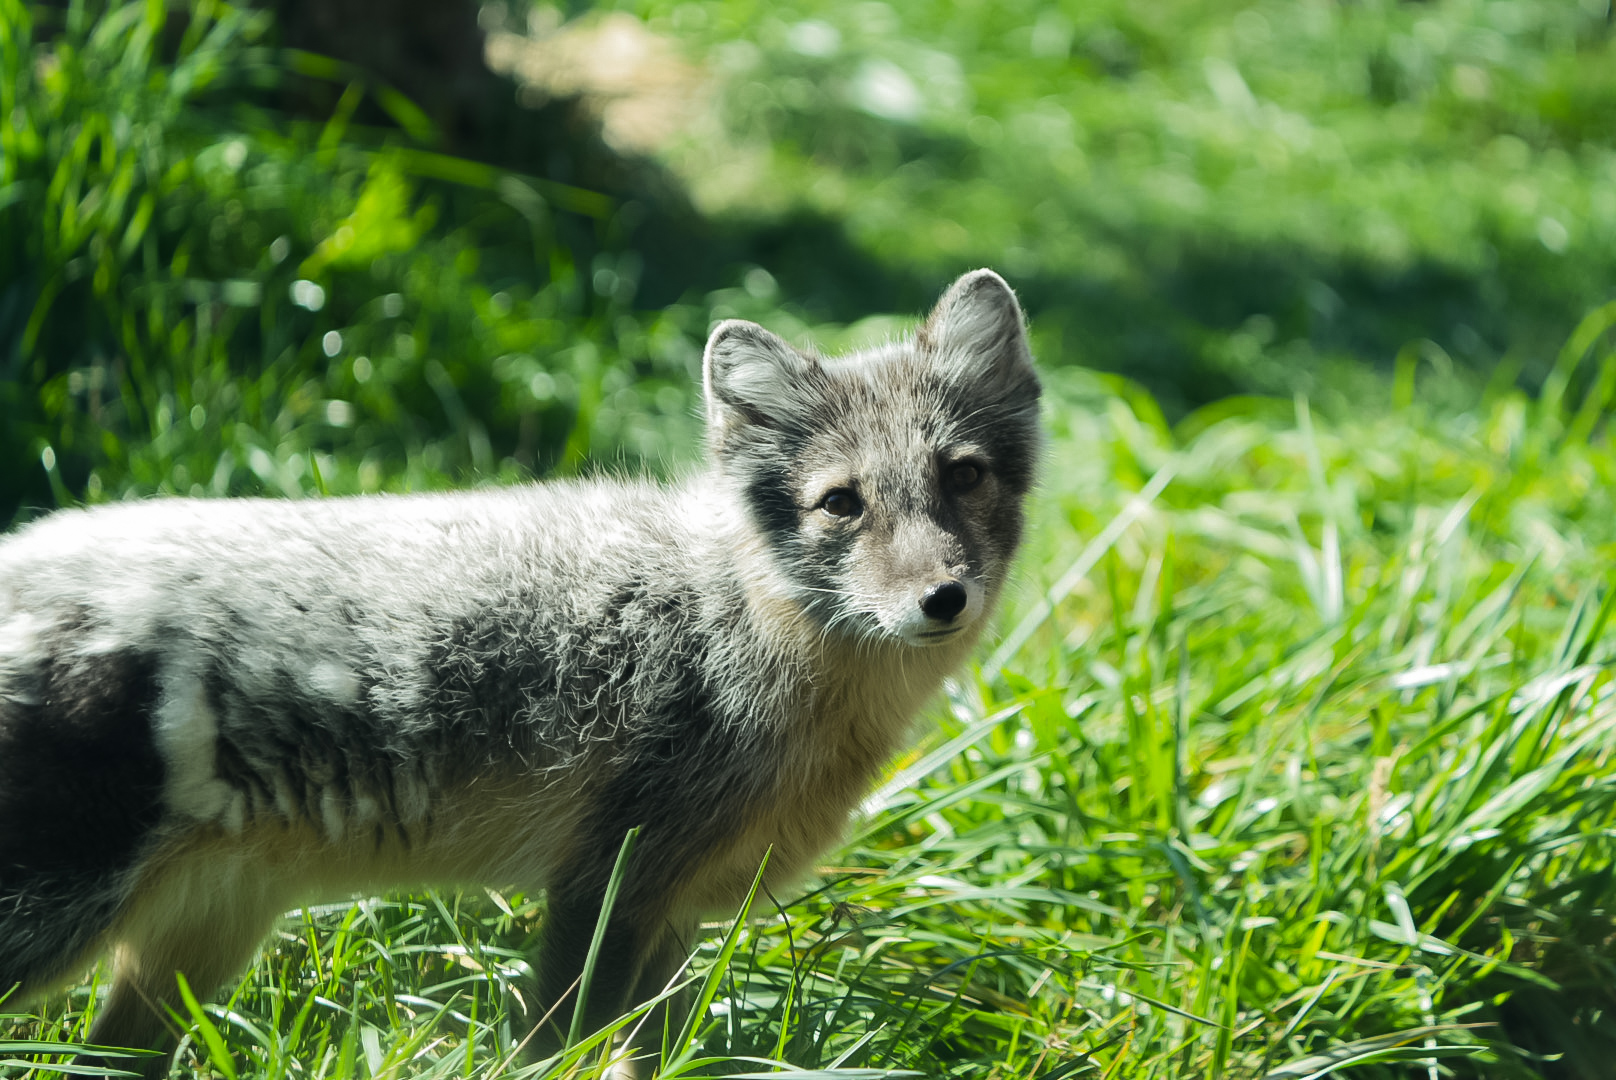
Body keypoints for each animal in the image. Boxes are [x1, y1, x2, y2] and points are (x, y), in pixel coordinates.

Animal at [0, 268, 1041, 1075]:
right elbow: (559, 1049)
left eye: (963, 475)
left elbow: (649, 1055)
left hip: (186, 961)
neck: (732, 618)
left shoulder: (676, 917)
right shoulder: (605, 885)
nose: (943, 599)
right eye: (841, 503)